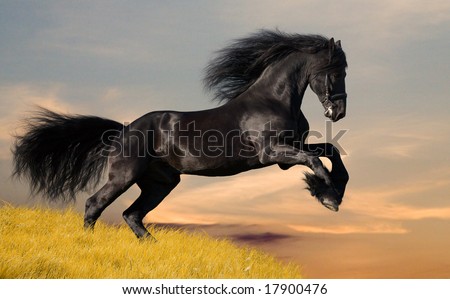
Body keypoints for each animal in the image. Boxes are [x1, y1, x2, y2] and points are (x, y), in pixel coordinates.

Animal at [10, 30, 348, 240]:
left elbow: (330, 151)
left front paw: (333, 191)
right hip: (125, 176)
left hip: (161, 182)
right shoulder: (273, 153)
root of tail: (122, 130)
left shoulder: (288, 154)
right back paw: (90, 243)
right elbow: (316, 162)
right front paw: (327, 196)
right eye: (335, 70)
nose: (338, 112)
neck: (273, 99)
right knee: (95, 204)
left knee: (132, 214)